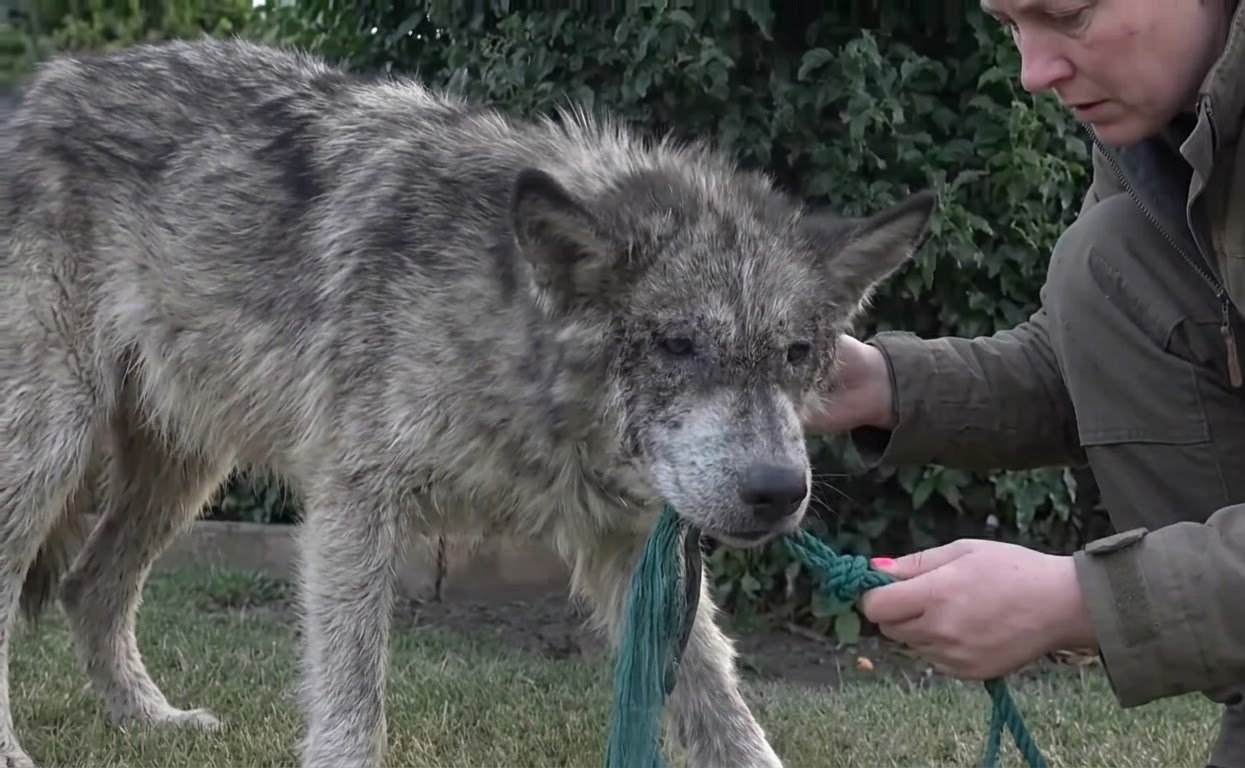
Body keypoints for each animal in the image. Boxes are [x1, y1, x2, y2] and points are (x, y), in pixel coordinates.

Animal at [0, 35, 935, 768]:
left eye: (795, 354)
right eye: (677, 345)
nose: (778, 492)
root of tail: (35, 88)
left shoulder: (632, 548)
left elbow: (725, 713)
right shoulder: (353, 505)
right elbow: (353, 704)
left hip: (186, 465)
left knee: (89, 587)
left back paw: (149, 723)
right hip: (53, 448)